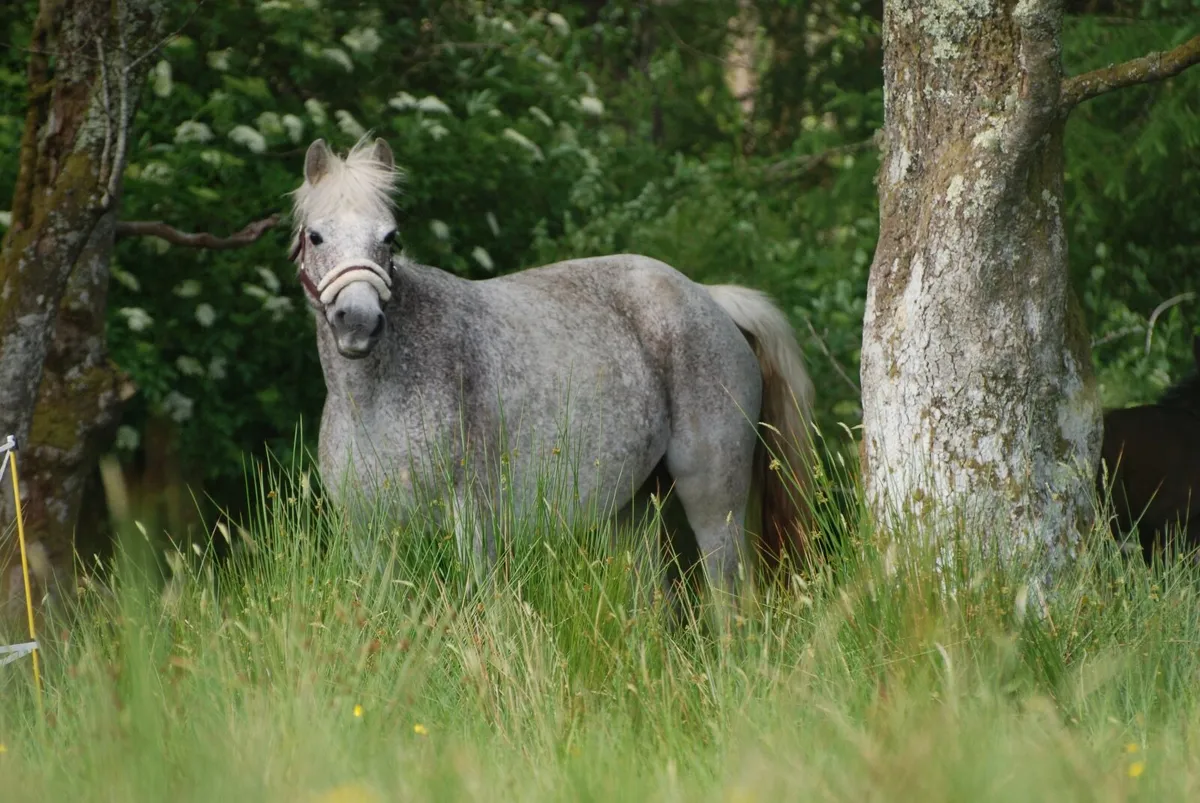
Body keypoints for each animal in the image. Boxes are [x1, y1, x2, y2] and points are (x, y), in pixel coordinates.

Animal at [286, 136, 817, 599]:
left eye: (390, 237)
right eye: (316, 236)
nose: (358, 322)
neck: (376, 396)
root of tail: (709, 298)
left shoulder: (474, 521)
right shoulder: (370, 536)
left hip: (712, 498)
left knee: (729, 596)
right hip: (633, 510)